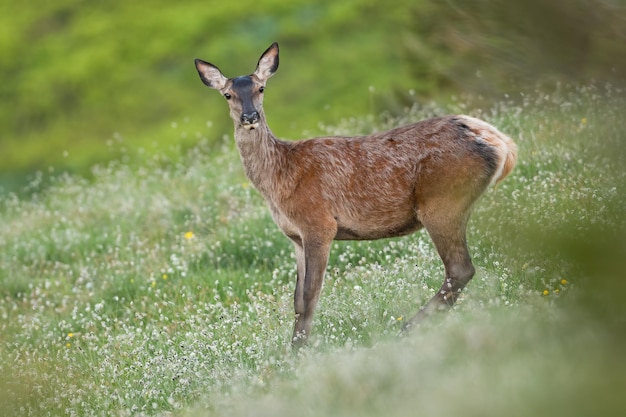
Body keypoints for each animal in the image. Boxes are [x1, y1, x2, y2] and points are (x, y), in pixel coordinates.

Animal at [193, 42, 516, 346]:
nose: (250, 116)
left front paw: (299, 354)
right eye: (228, 95)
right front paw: (293, 350)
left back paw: (406, 329)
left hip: (442, 202)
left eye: (261, 88)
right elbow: (296, 300)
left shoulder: (319, 223)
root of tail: (502, 143)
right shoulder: (295, 237)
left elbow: (310, 295)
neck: (279, 181)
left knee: (460, 269)